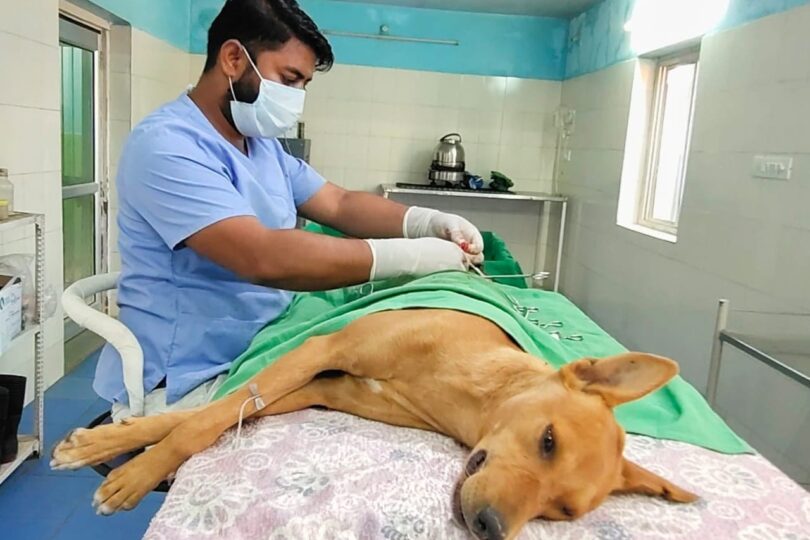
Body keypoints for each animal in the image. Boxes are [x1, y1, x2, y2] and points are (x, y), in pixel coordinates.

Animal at [52, 310, 696, 536]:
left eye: (561, 511)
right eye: (547, 440)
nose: (489, 527)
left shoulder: (324, 386)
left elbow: (218, 412)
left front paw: (122, 451)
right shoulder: (320, 348)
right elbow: (200, 418)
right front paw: (127, 465)